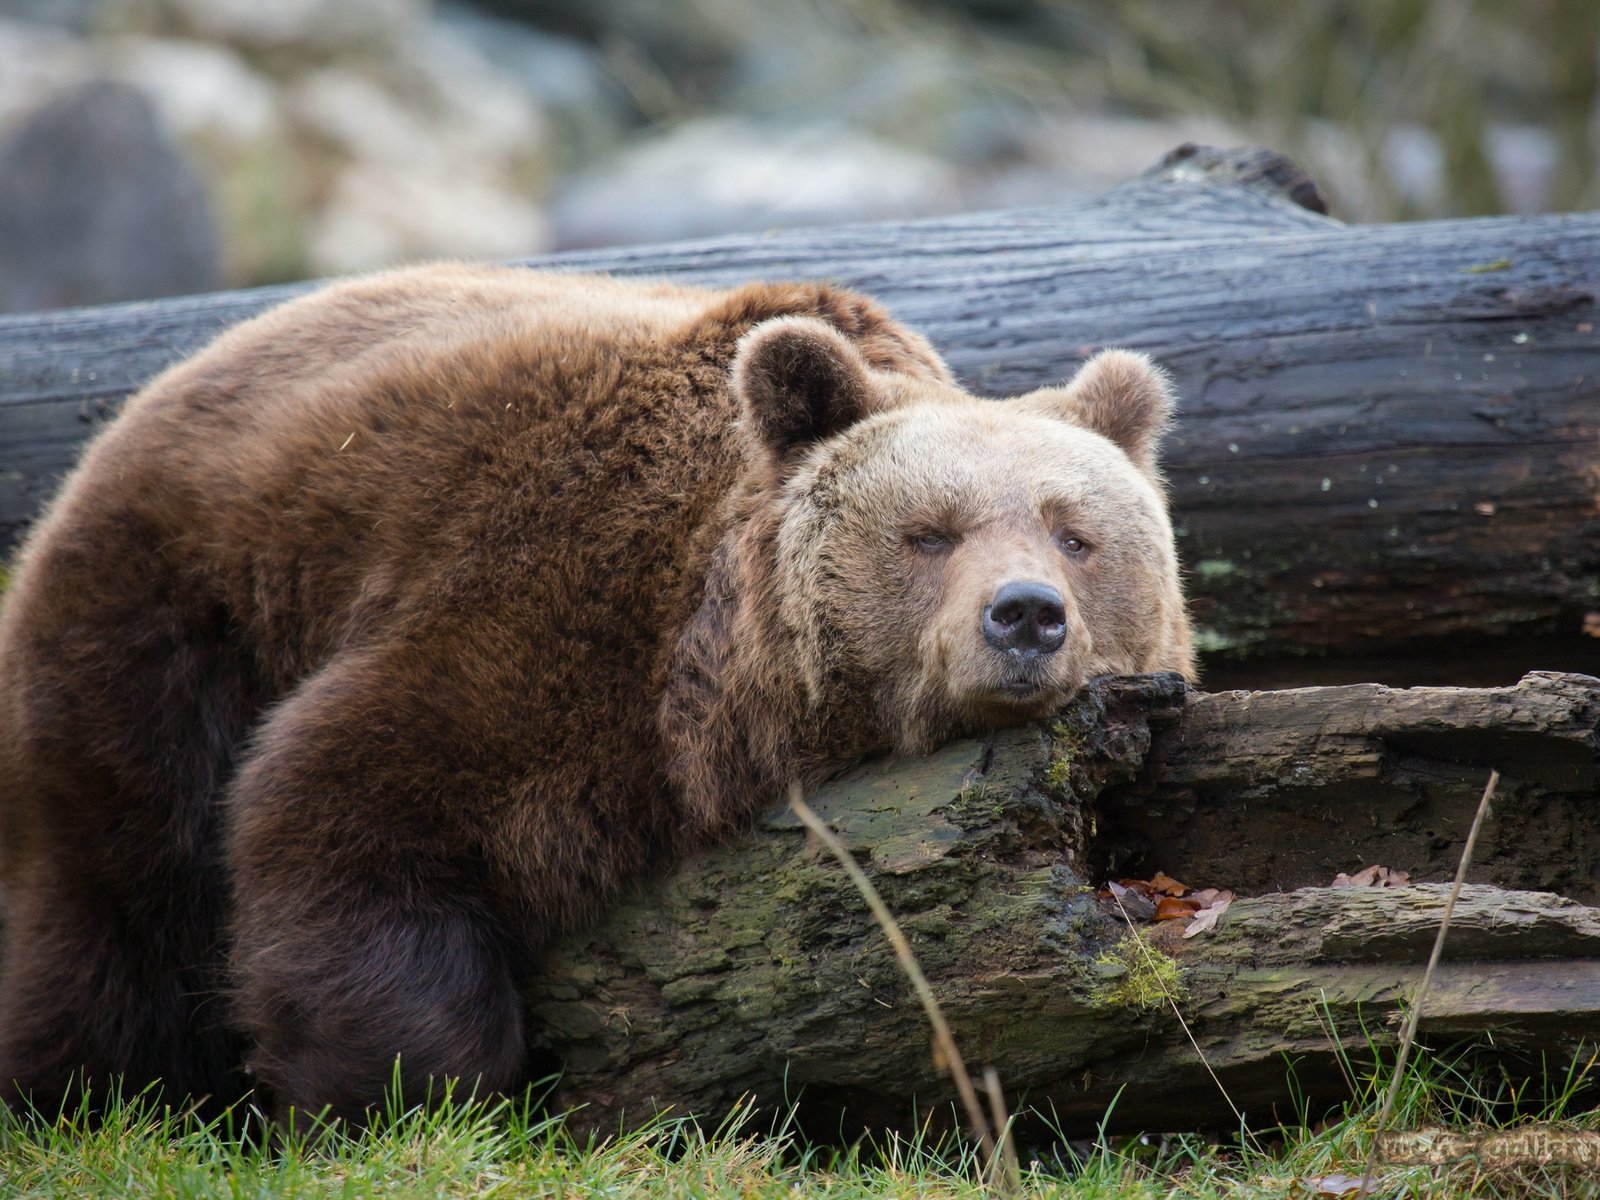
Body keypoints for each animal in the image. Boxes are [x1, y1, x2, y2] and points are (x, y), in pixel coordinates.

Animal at [0, 262, 1190, 1126]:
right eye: (930, 533)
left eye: (1075, 534)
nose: (1025, 615)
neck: (714, 683)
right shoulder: (545, 609)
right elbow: (340, 799)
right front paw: (399, 1091)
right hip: (175, 609)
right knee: (121, 886)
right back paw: (80, 1089)